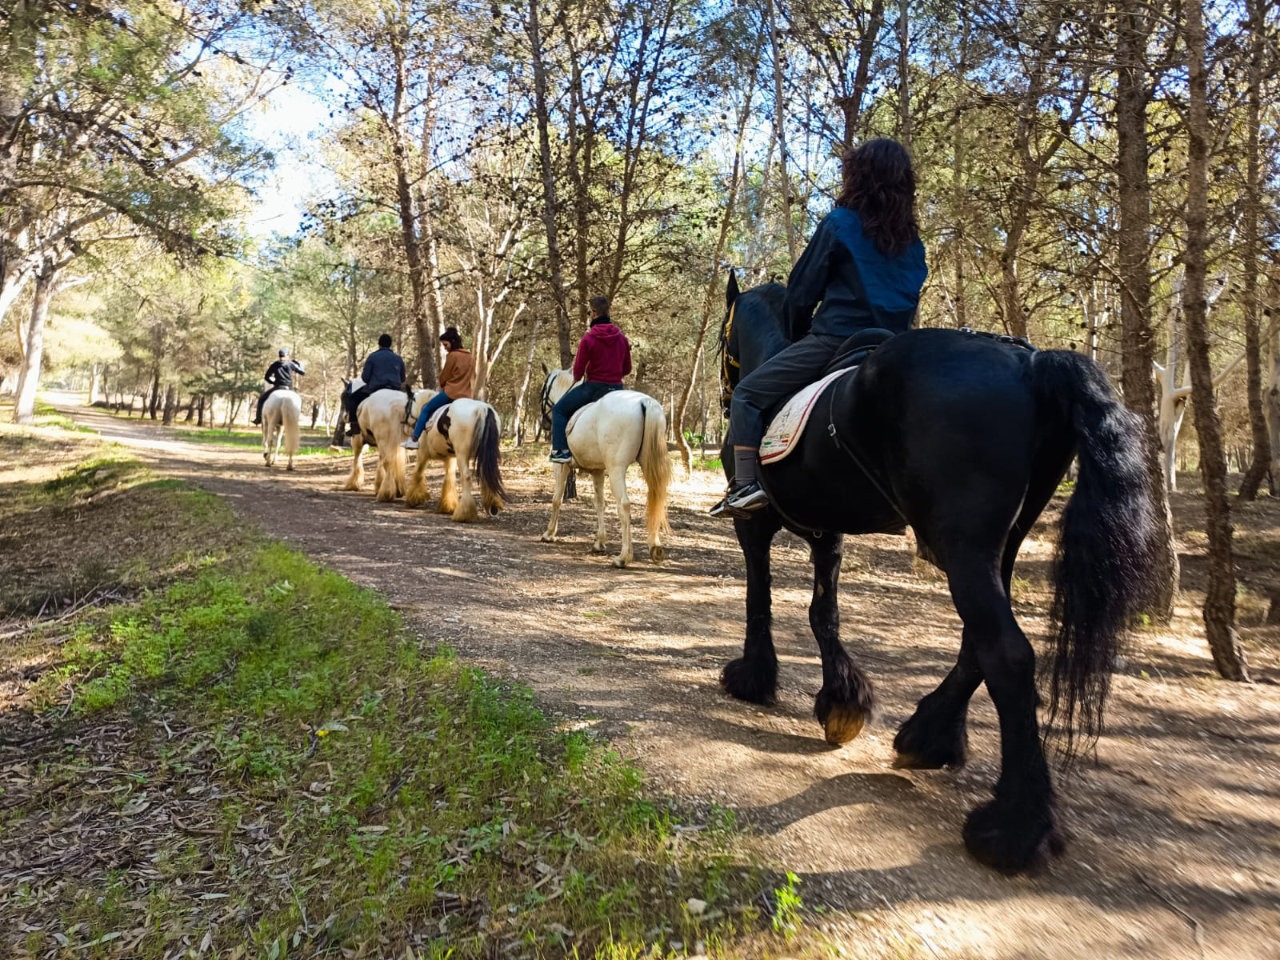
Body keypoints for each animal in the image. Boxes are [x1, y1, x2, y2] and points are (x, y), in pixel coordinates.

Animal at [539, 369, 671, 567]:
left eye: (542, 391)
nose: (545, 424)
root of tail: (644, 402)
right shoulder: (597, 470)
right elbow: (599, 502)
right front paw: (599, 542)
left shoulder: (560, 467)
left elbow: (556, 499)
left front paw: (549, 533)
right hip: (649, 464)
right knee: (656, 497)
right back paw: (655, 548)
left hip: (616, 469)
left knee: (624, 505)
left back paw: (624, 557)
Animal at [718, 273, 1160, 874]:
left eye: (724, 337)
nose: (725, 394)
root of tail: (1030, 362)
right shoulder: (828, 533)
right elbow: (822, 612)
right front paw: (843, 700)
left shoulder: (756, 524)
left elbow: (759, 598)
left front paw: (754, 678)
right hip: (998, 543)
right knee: (979, 644)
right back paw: (929, 738)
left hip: (961, 544)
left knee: (1007, 654)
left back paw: (1013, 828)